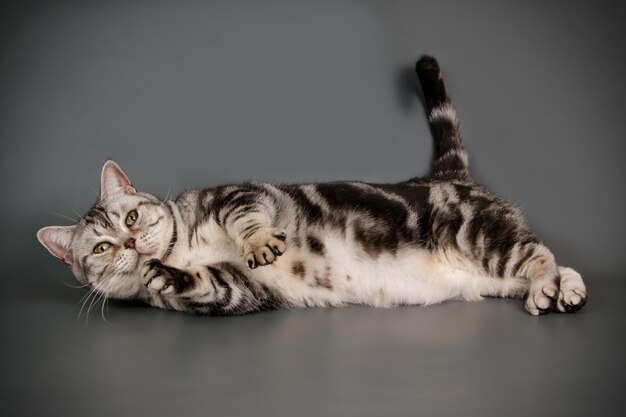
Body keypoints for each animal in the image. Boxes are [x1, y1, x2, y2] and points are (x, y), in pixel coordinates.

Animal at [37, 55, 584, 316]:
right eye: (102, 247)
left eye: (131, 217)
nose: (130, 244)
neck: (182, 249)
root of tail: (448, 175)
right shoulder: (242, 292)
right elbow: (206, 284)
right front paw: (162, 275)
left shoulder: (239, 194)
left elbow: (246, 221)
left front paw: (257, 242)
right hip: (487, 269)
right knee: (542, 260)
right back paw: (566, 287)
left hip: (477, 234)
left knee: (537, 254)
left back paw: (549, 288)